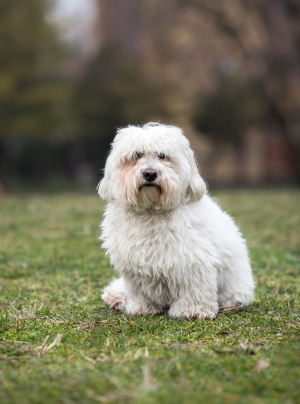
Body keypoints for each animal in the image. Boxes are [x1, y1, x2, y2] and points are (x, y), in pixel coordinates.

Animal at [97, 123, 254, 318]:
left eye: (163, 156)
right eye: (137, 155)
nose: (150, 173)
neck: (152, 211)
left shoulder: (193, 262)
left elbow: (194, 289)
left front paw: (192, 310)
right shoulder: (135, 267)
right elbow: (140, 290)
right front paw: (142, 307)